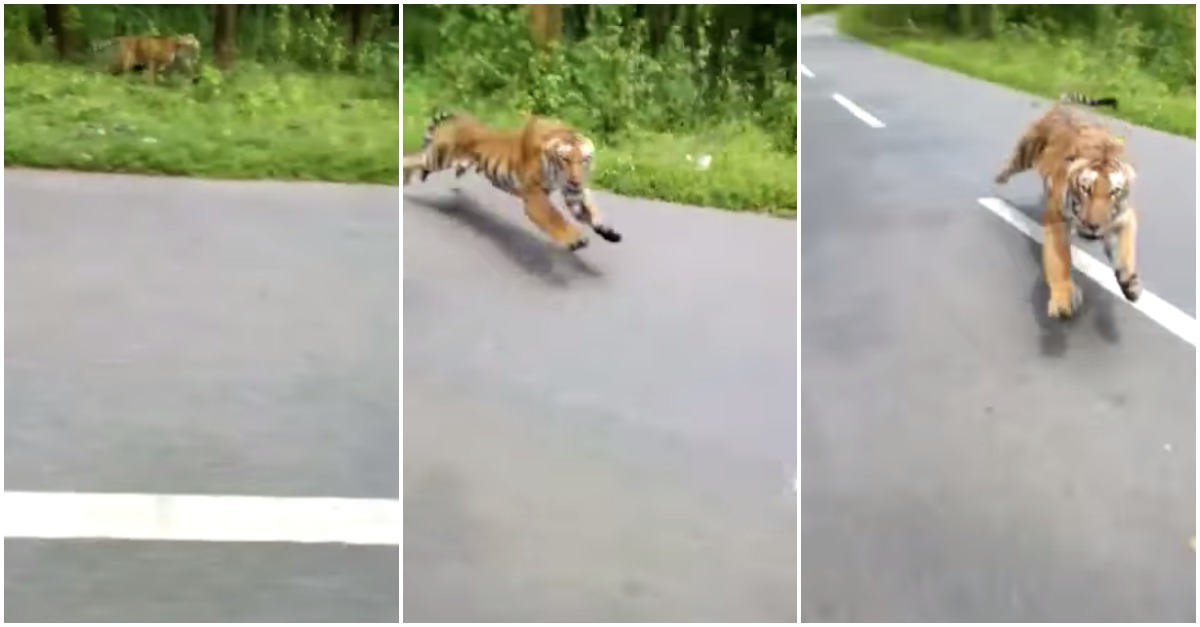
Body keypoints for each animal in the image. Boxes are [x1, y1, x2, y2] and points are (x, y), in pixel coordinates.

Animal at [405, 111, 624, 249]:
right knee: (412, 157)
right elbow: (554, 217)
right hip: (440, 156)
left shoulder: (572, 194)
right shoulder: (534, 195)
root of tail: (463, 119)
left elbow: (591, 211)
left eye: (584, 159)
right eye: (566, 159)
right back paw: (405, 182)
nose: (576, 181)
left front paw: (609, 232)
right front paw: (574, 239)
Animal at [998, 91, 1137, 317]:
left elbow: (1125, 250)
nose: (1093, 226)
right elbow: (1060, 260)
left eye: (1114, 192)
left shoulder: (1123, 217)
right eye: (1086, 189)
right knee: (1012, 163)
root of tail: (1063, 107)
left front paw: (1130, 284)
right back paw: (999, 177)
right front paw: (1063, 300)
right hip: (1027, 150)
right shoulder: (1058, 219)